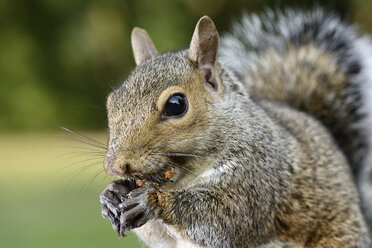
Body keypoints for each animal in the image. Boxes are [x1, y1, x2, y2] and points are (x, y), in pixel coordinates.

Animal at [98, 8, 372, 248]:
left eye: (176, 105)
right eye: (111, 102)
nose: (118, 166)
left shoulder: (259, 177)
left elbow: (226, 218)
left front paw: (152, 200)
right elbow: (157, 235)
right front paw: (111, 195)